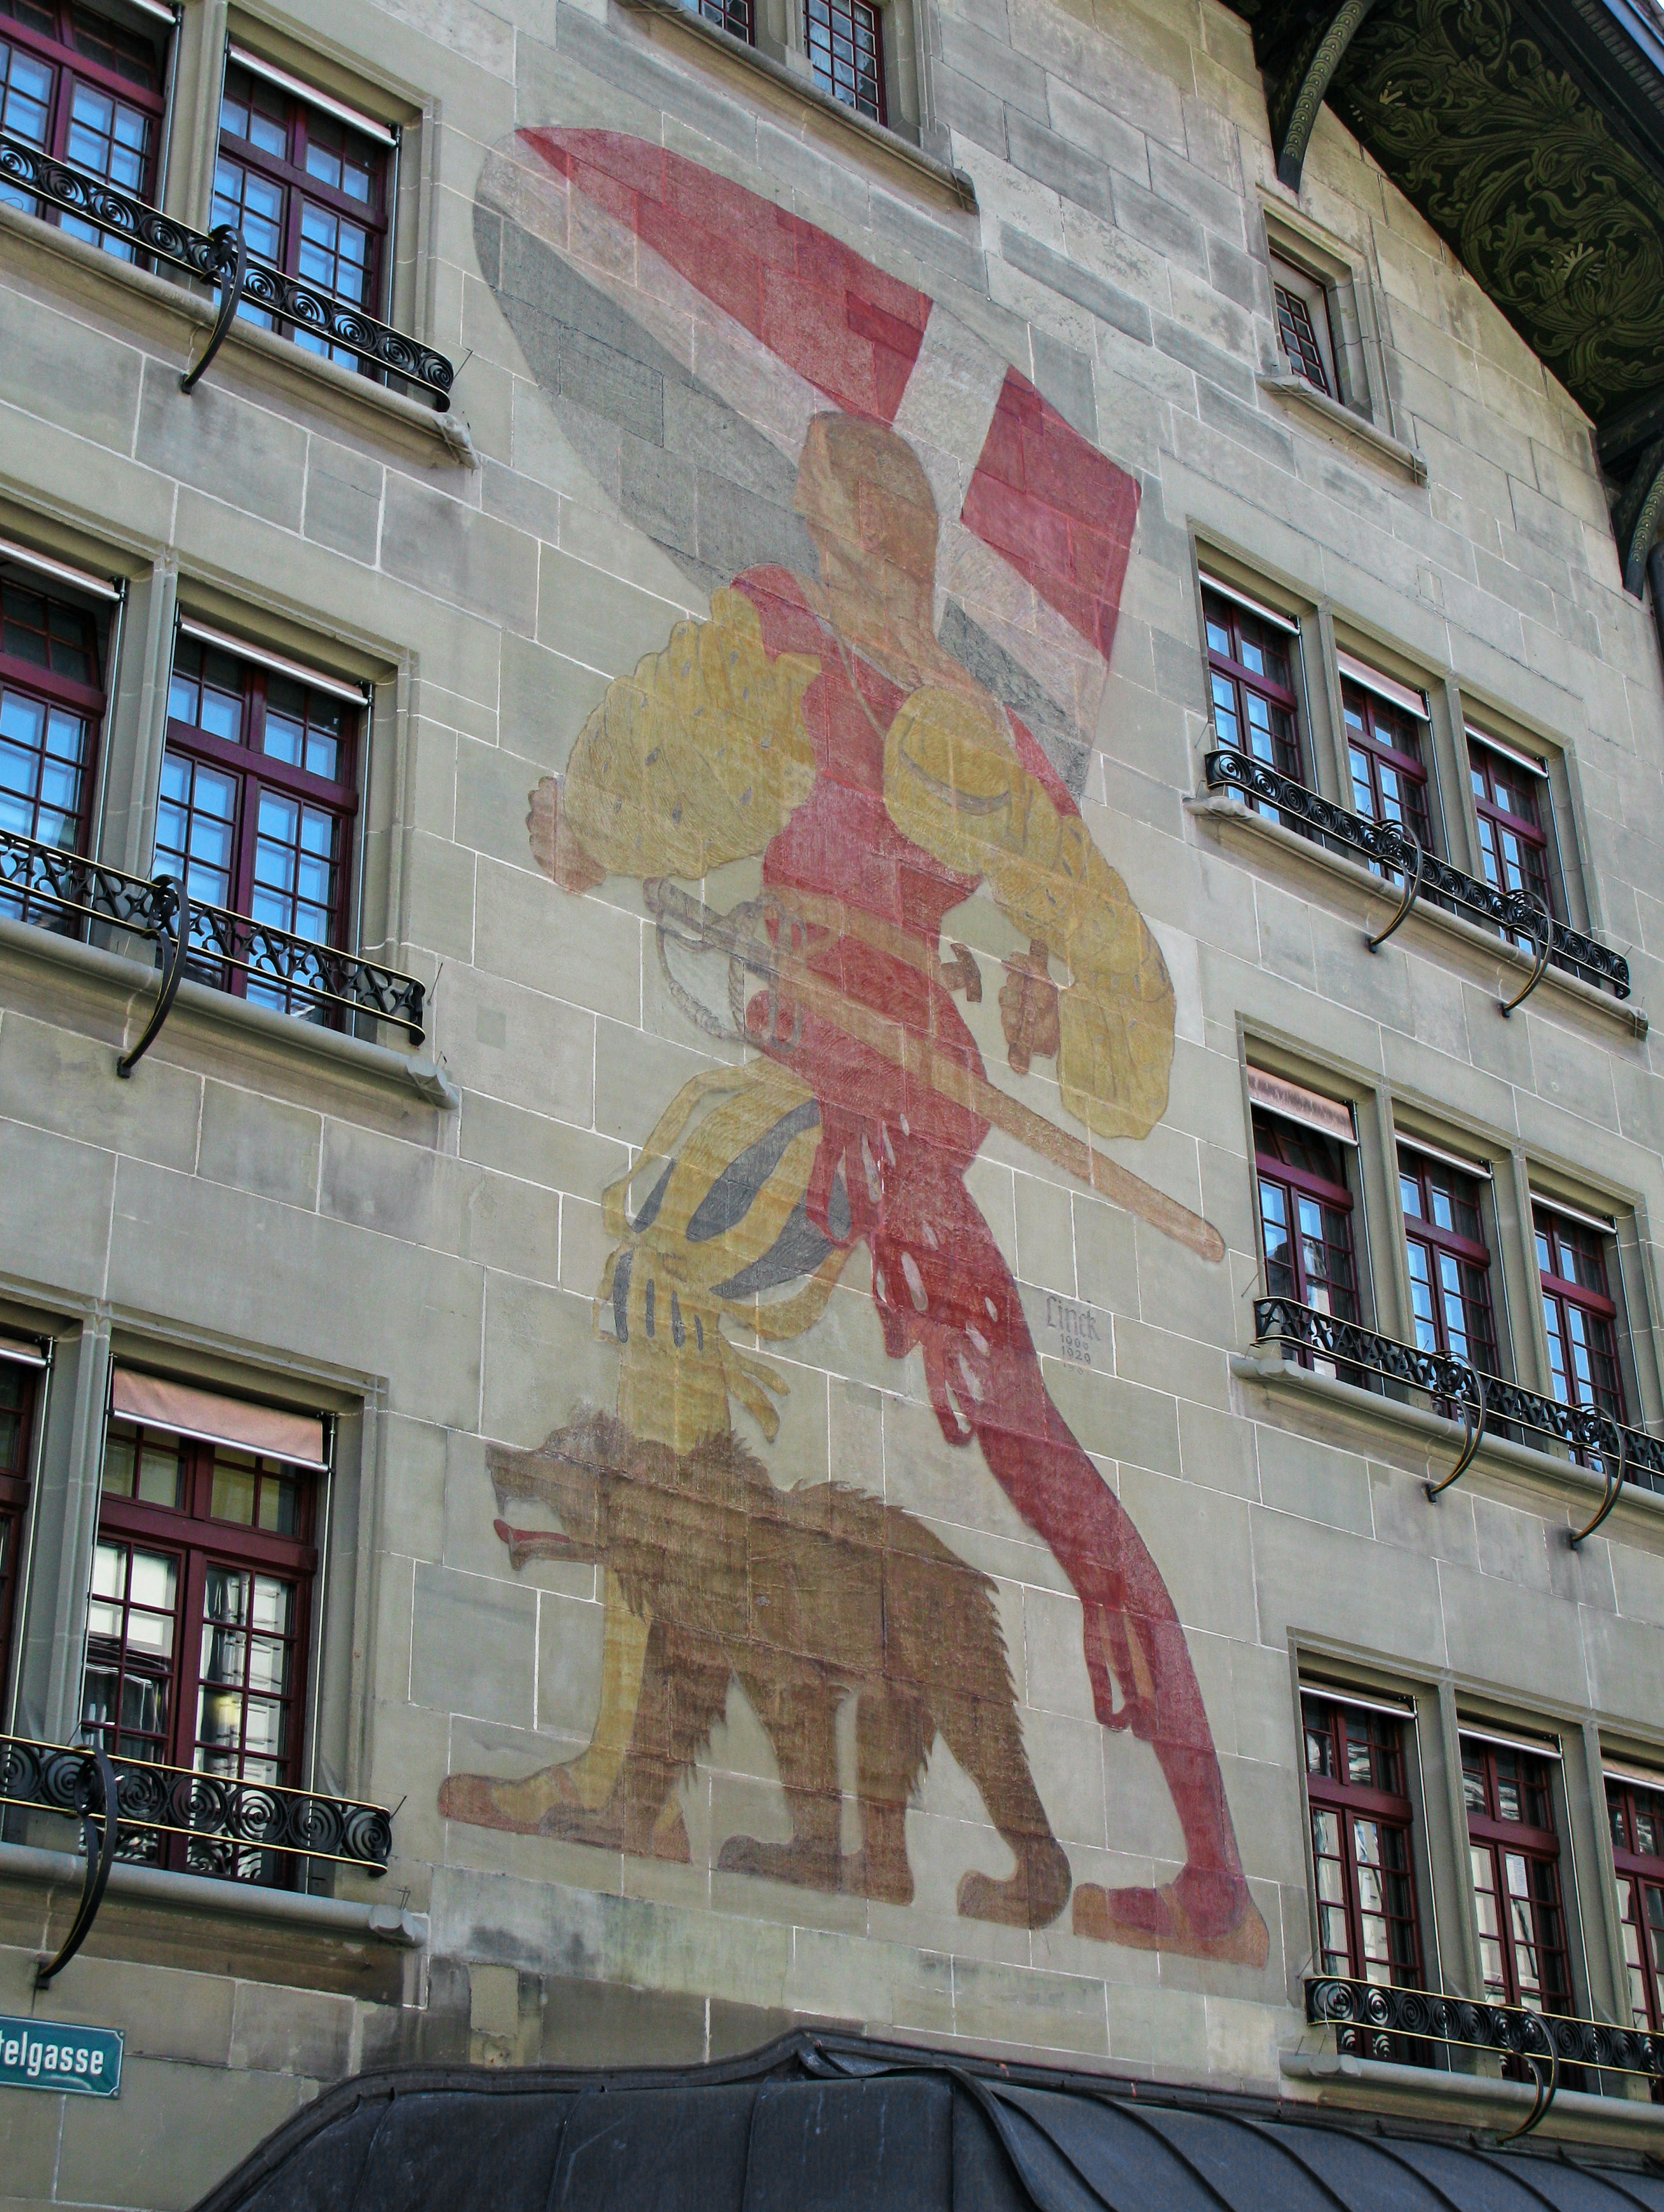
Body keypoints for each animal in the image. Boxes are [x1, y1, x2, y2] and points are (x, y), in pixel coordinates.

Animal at [487, 1407, 1071, 1929]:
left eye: (555, 1450)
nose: (498, 1459)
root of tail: (967, 1568)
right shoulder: (690, 1625)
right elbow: (665, 1715)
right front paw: (601, 1824)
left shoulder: (767, 1619)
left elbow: (797, 1721)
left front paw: (795, 1859)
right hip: (898, 1667)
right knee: (884, 1742)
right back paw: (877, 1879)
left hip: (939, 1624)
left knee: (984, 1742)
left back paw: (1002, 1892)